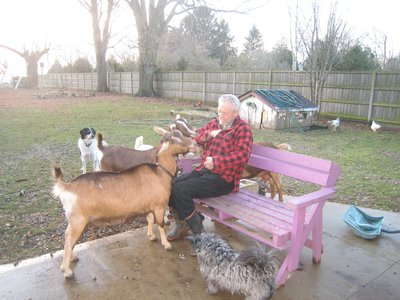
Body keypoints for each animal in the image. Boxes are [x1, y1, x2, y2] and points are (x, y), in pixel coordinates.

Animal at [52, 126, 190, 278]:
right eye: (176, 137)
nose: (192, 144)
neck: (160, 171)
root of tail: (66, 186)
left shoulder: (149, 206)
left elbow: (149, 219)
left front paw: (151, 236)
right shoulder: (159, 206)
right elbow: (160, 224)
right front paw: (166, 244)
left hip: (74, 220)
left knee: (67, 238)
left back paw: (72, 258)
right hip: (78, 221)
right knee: (69, 240)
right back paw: (67, 270)